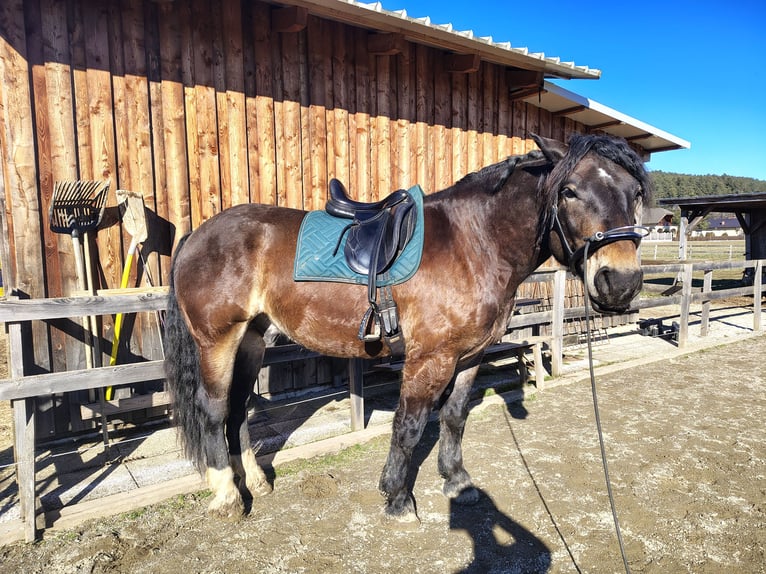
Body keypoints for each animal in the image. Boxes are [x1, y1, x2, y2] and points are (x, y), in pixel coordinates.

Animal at [163, 133, 651, 522]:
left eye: (634, 193)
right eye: (569, 191)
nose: (620, 281)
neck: (474, 242)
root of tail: (198, 235)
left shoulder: (469, 357)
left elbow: (453, 418)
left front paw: (457, 480)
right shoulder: (429, 360)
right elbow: (410, 426)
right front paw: (397, 497)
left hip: (252, 339)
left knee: (237, 409)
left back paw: (256, 483)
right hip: (218, 340)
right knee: (213, 410)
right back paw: (228, 497)